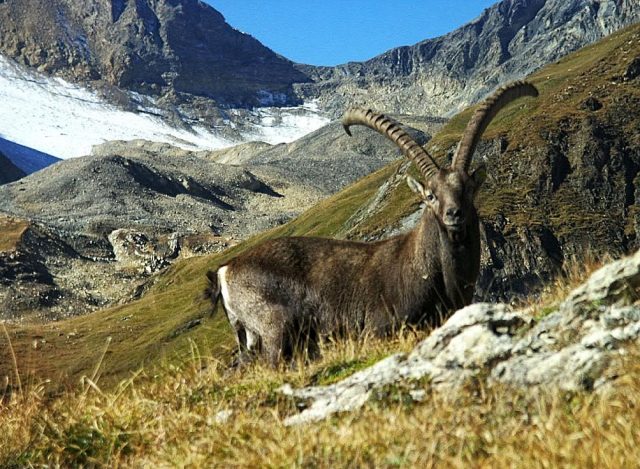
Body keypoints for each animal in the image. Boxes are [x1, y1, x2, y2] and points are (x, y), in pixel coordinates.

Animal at [207, 81, 538, 365]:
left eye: (468, 188)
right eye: (430, 195)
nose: (453, 214)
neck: (427, 268)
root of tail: (227, 269)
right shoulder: (378, 329)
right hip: (276, 330)